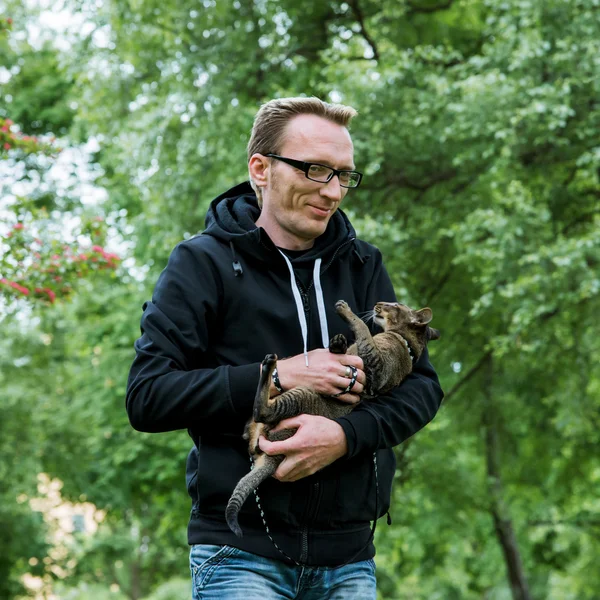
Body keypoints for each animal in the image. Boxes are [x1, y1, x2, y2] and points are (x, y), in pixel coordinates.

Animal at [226, 298, 440, 536]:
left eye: (394, 305)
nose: (379, 302)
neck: (405, 343)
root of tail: (272, 457)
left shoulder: (376, 367)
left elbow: (364, 329)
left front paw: (346, 311)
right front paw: (337, 344)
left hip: (302, 396)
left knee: (262, 410)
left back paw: (270, 365)